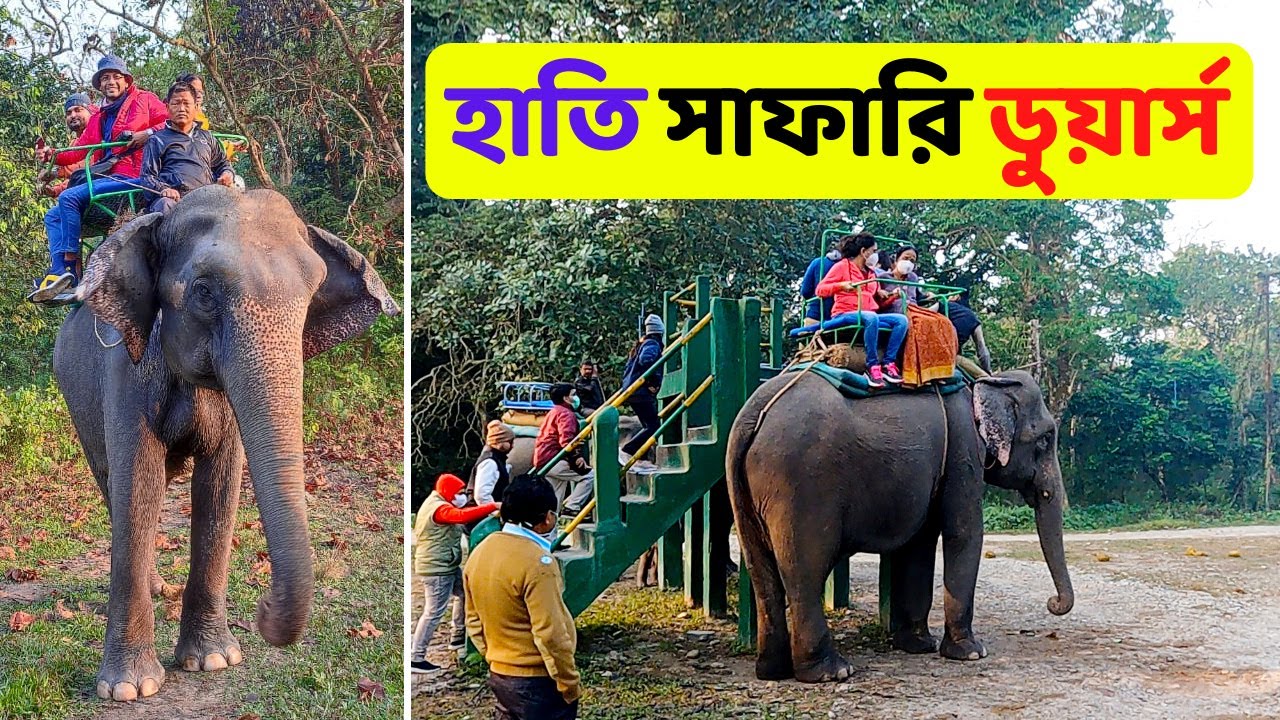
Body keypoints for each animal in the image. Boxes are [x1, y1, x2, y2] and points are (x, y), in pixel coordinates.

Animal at [53, 185, 399, 702]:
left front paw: (213, 660)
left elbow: (220, 484)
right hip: (76, 398)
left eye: (313, 292)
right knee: (111, 480)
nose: (263, 608)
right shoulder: (126, 372)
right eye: (203, 292)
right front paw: (129, 688)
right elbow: (138, 480)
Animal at [725, 369, 1072, 683]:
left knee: (761, 569)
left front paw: (919, 645)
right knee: (806, 571)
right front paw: (971, 652)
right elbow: (963, 532)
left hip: (746, 492)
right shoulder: (963, 451)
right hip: (800, 486)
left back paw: (772, 671)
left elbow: (921, 542)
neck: (984, 381)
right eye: (1045, 439)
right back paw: (832, 672)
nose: (1052, 603)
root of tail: (752, 415)